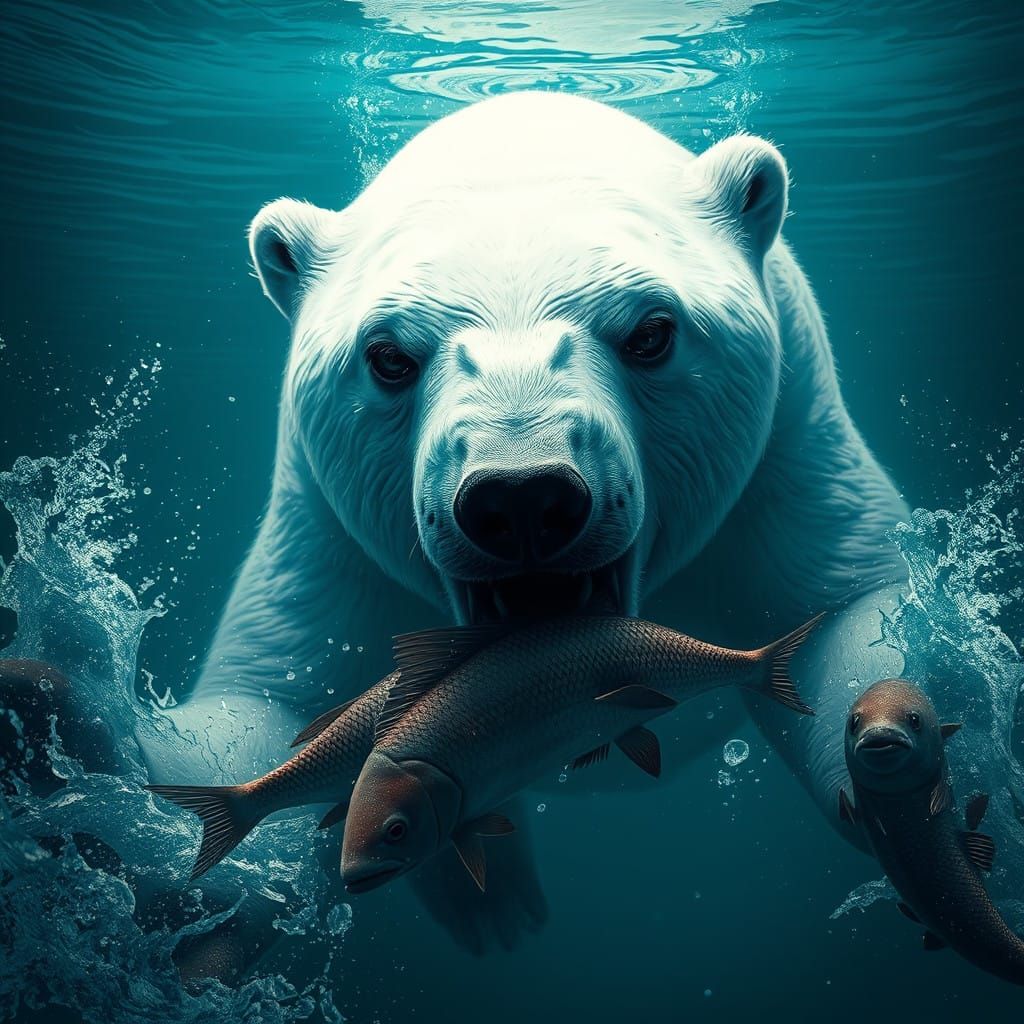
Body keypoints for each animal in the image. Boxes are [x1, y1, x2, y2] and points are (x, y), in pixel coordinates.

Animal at [11, 93, 915, 993]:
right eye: (387, 357)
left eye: (653, 333)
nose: (523, 499)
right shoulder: (330, 533)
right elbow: (272, 706)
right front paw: (63, 722)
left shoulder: (784, 457)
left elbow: (849, 607)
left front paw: (892, 787)